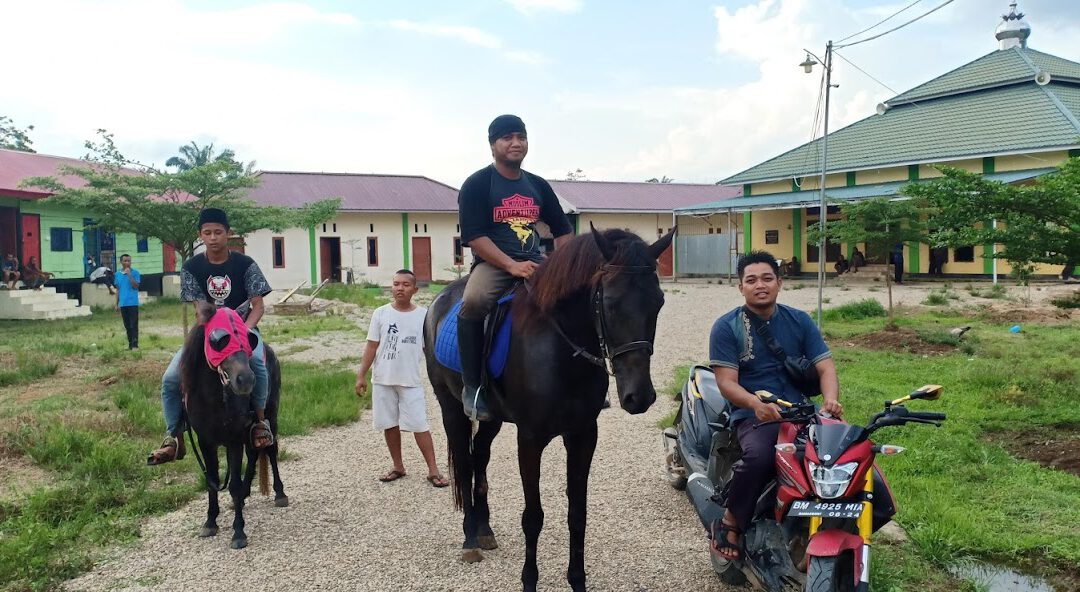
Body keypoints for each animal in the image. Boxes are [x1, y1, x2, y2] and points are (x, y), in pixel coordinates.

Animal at [183, 302, 289, 548]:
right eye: (218, 340)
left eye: (246, 339)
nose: (246, 380)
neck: (215, 398)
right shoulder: (206, 441)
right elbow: (212, 481)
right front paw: (210, 522)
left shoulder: (233, 440)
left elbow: (233, 484)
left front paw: (239, 532)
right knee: (253, 454)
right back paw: (245, 495)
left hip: (271, 416)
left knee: (270, 449)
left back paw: (279, 494)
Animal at [423, 226, 669, 592]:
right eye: (609, 303)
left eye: (658, 302)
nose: (639, 396)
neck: (560, 350)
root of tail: (438, 303)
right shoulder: (530, 439)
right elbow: (533, 516)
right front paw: (529, 581)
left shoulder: (583, 435)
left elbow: (577, 513)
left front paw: (578, 581)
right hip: (450, 407)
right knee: (465, 463)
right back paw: (469, 538)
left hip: (493, 418)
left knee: (480, 455)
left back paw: (484, 528)